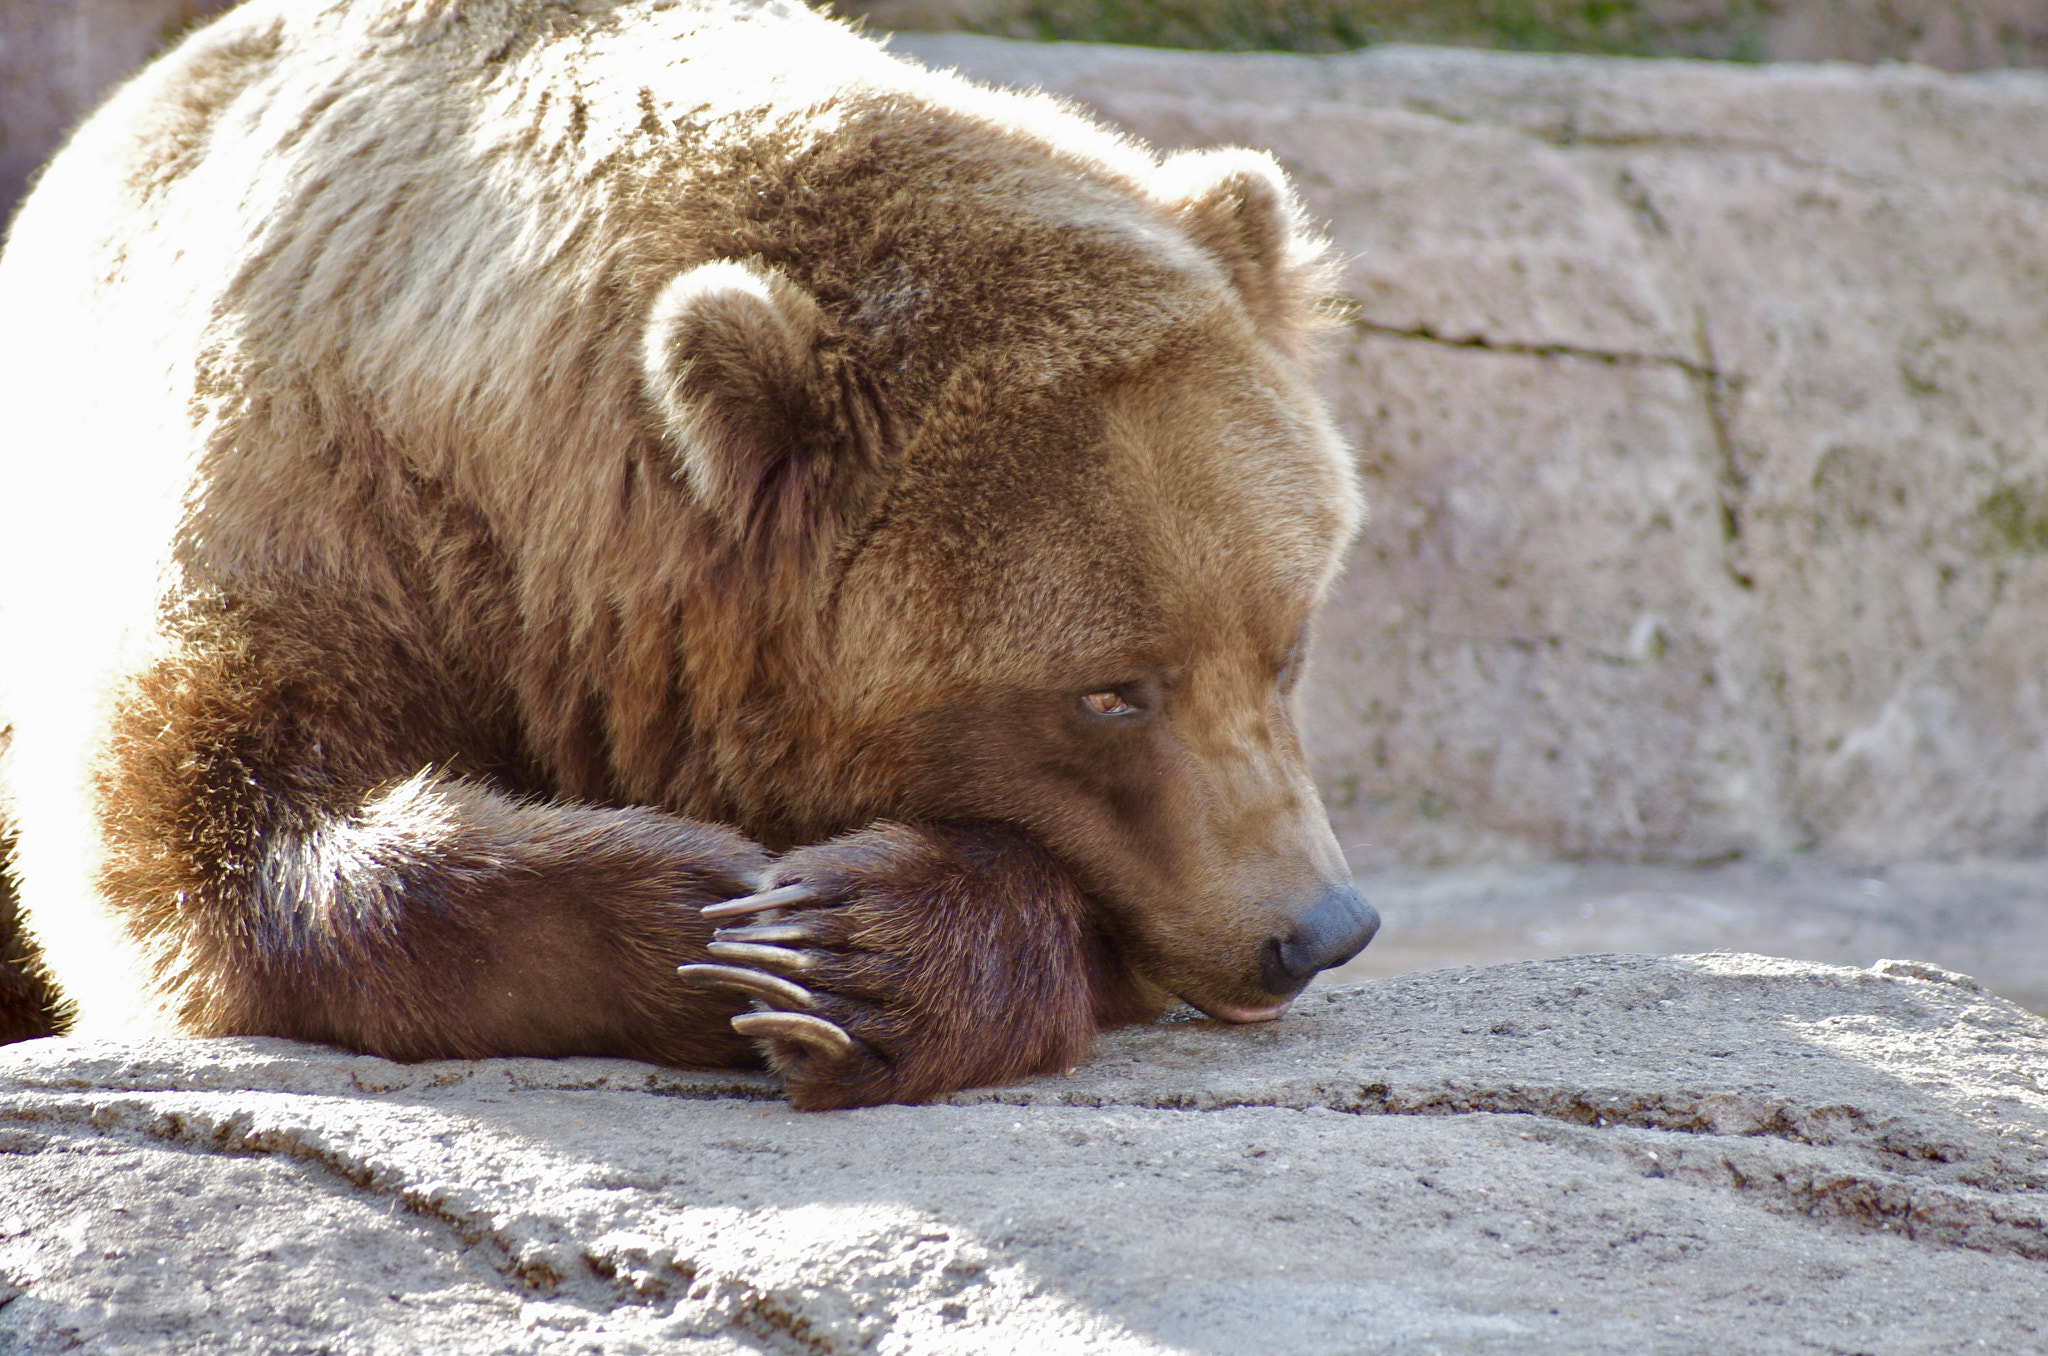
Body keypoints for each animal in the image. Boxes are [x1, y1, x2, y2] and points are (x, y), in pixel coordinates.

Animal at [0, 0, 1384, 1114]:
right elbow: (185, 834)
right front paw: (722, 910)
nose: (1314, 928)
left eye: (1287, 642)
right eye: (1108, 693)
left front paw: (849, 951)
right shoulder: (306, 504)